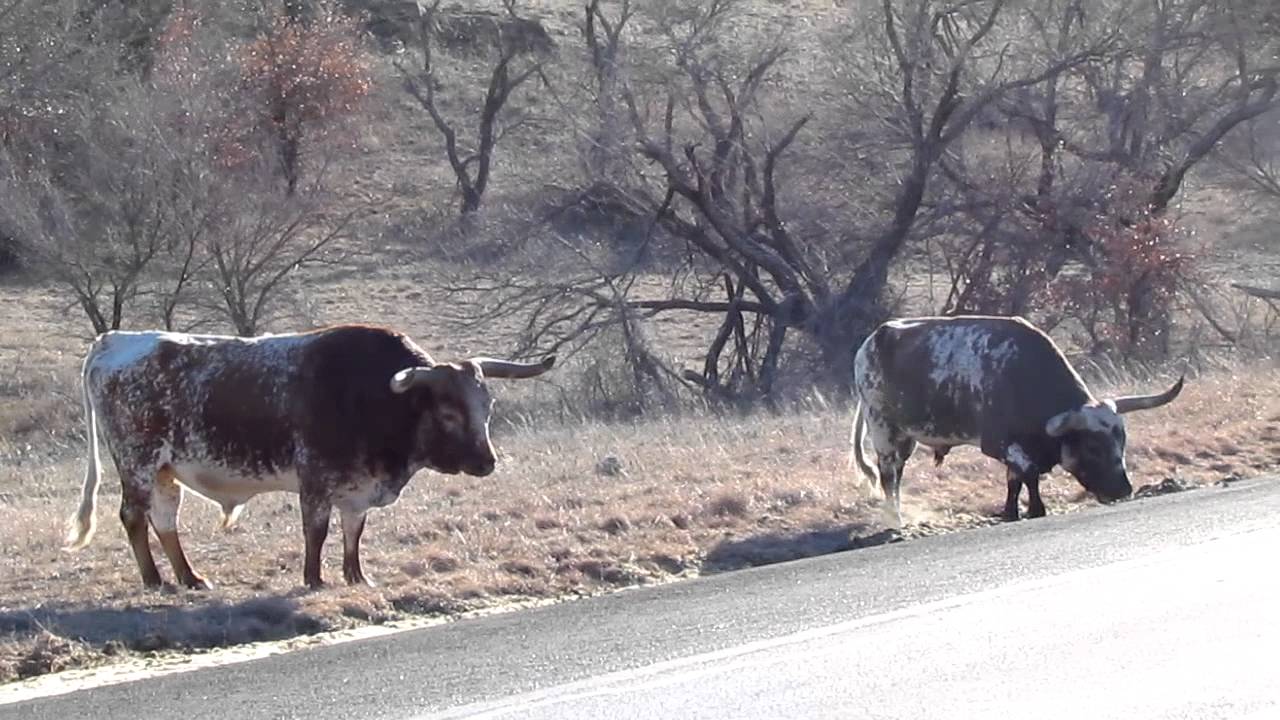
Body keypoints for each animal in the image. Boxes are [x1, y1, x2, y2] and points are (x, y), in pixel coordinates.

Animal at [64, 324, 554, 590]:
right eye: (450, 413)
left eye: (486, 406)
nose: (487, 462)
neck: (372, 397)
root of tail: (115, 339)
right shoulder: (315, 480)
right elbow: (316, 532)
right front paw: (314, 579)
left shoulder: (358, 488)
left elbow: (353, 533)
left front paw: (356, 577)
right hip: (138, 463)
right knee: (133, 517)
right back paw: (155, 580)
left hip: (164, 470)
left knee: (165, 519)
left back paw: (190, 578)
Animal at [850, 315, 1183, 524]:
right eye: (1092, 447)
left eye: (1122, 442)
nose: (1122, 490)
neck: (1022, 375)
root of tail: (870, 342)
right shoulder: (998, 443)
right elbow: (1029, 473)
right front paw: (1036, 509)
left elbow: (1015, 480)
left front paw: (1010, 511)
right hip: (884, 431)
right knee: (888, 475)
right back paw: (895, 518)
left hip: (905, 439)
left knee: (896, 473)